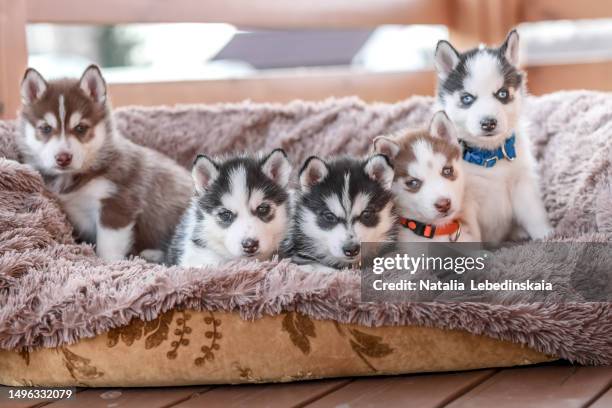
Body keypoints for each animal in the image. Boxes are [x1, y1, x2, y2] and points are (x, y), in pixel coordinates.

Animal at [17, 63, 191, 262]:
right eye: (45, 128)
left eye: (81, 128)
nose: (63, 158)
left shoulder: (117, 204)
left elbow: (108, 249)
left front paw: (111, 264)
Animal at [432, 29, 552, 245]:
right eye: (467, 98)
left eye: (502, 93)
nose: (488, 123)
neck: (489, 155)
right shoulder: (466, 203)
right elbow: (472, 233)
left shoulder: (522, 183)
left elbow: (534, 213)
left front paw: (547, 235)